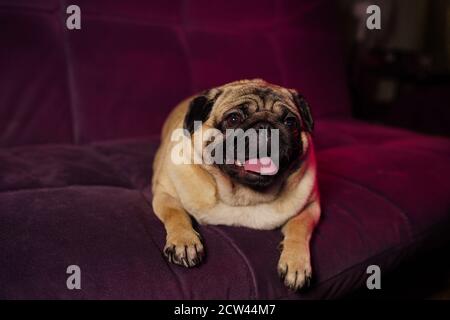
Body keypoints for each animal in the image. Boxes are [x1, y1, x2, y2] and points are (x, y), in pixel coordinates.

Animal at [152, 79, 320, 290]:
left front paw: (296, 263)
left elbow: (299, 226)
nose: (265, 126)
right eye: (233, 119)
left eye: (290, 122)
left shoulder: (310, 207)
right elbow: (176, 214)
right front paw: (184, 241)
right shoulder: (164, 194)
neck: (243, 195)